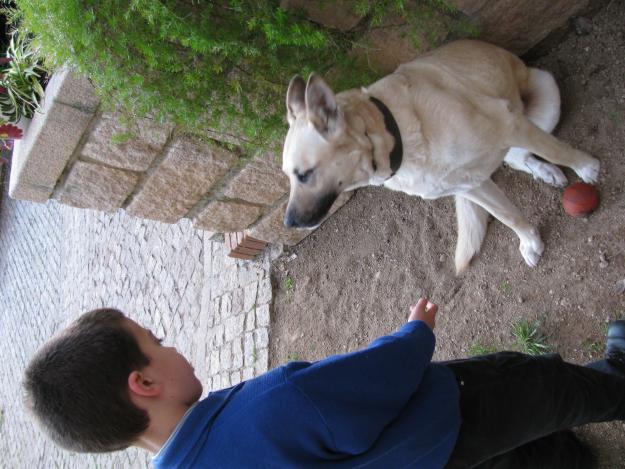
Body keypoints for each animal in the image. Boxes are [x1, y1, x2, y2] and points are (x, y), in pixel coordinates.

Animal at [280, 40, 596, 274]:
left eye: (304, 174)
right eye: (289, 176)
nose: (288, 224)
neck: (395, 132)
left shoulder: (508, 124)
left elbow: (558, 150)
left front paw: (587, 167)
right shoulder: (469, 184)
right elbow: (508, 216)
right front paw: (530, 241)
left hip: (544, 97)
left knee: (535, 149)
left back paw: (553, 169)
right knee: (518, 158)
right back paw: (545, 172)